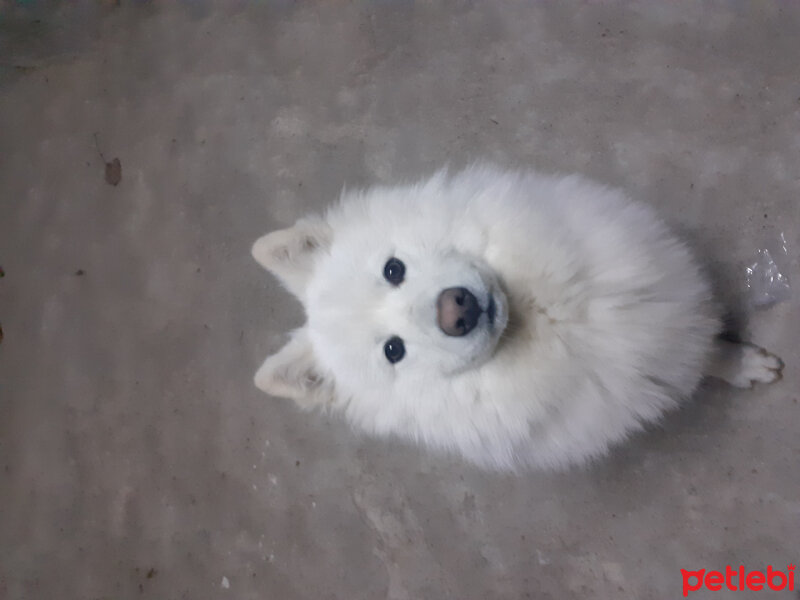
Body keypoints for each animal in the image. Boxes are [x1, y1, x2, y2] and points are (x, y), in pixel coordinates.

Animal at [252, 166, 780, 472]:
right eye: (393, 351)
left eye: (393, 269)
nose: (457, 308)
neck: (550, 321)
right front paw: (738, 364)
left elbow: (702, 344)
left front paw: (741, 363)